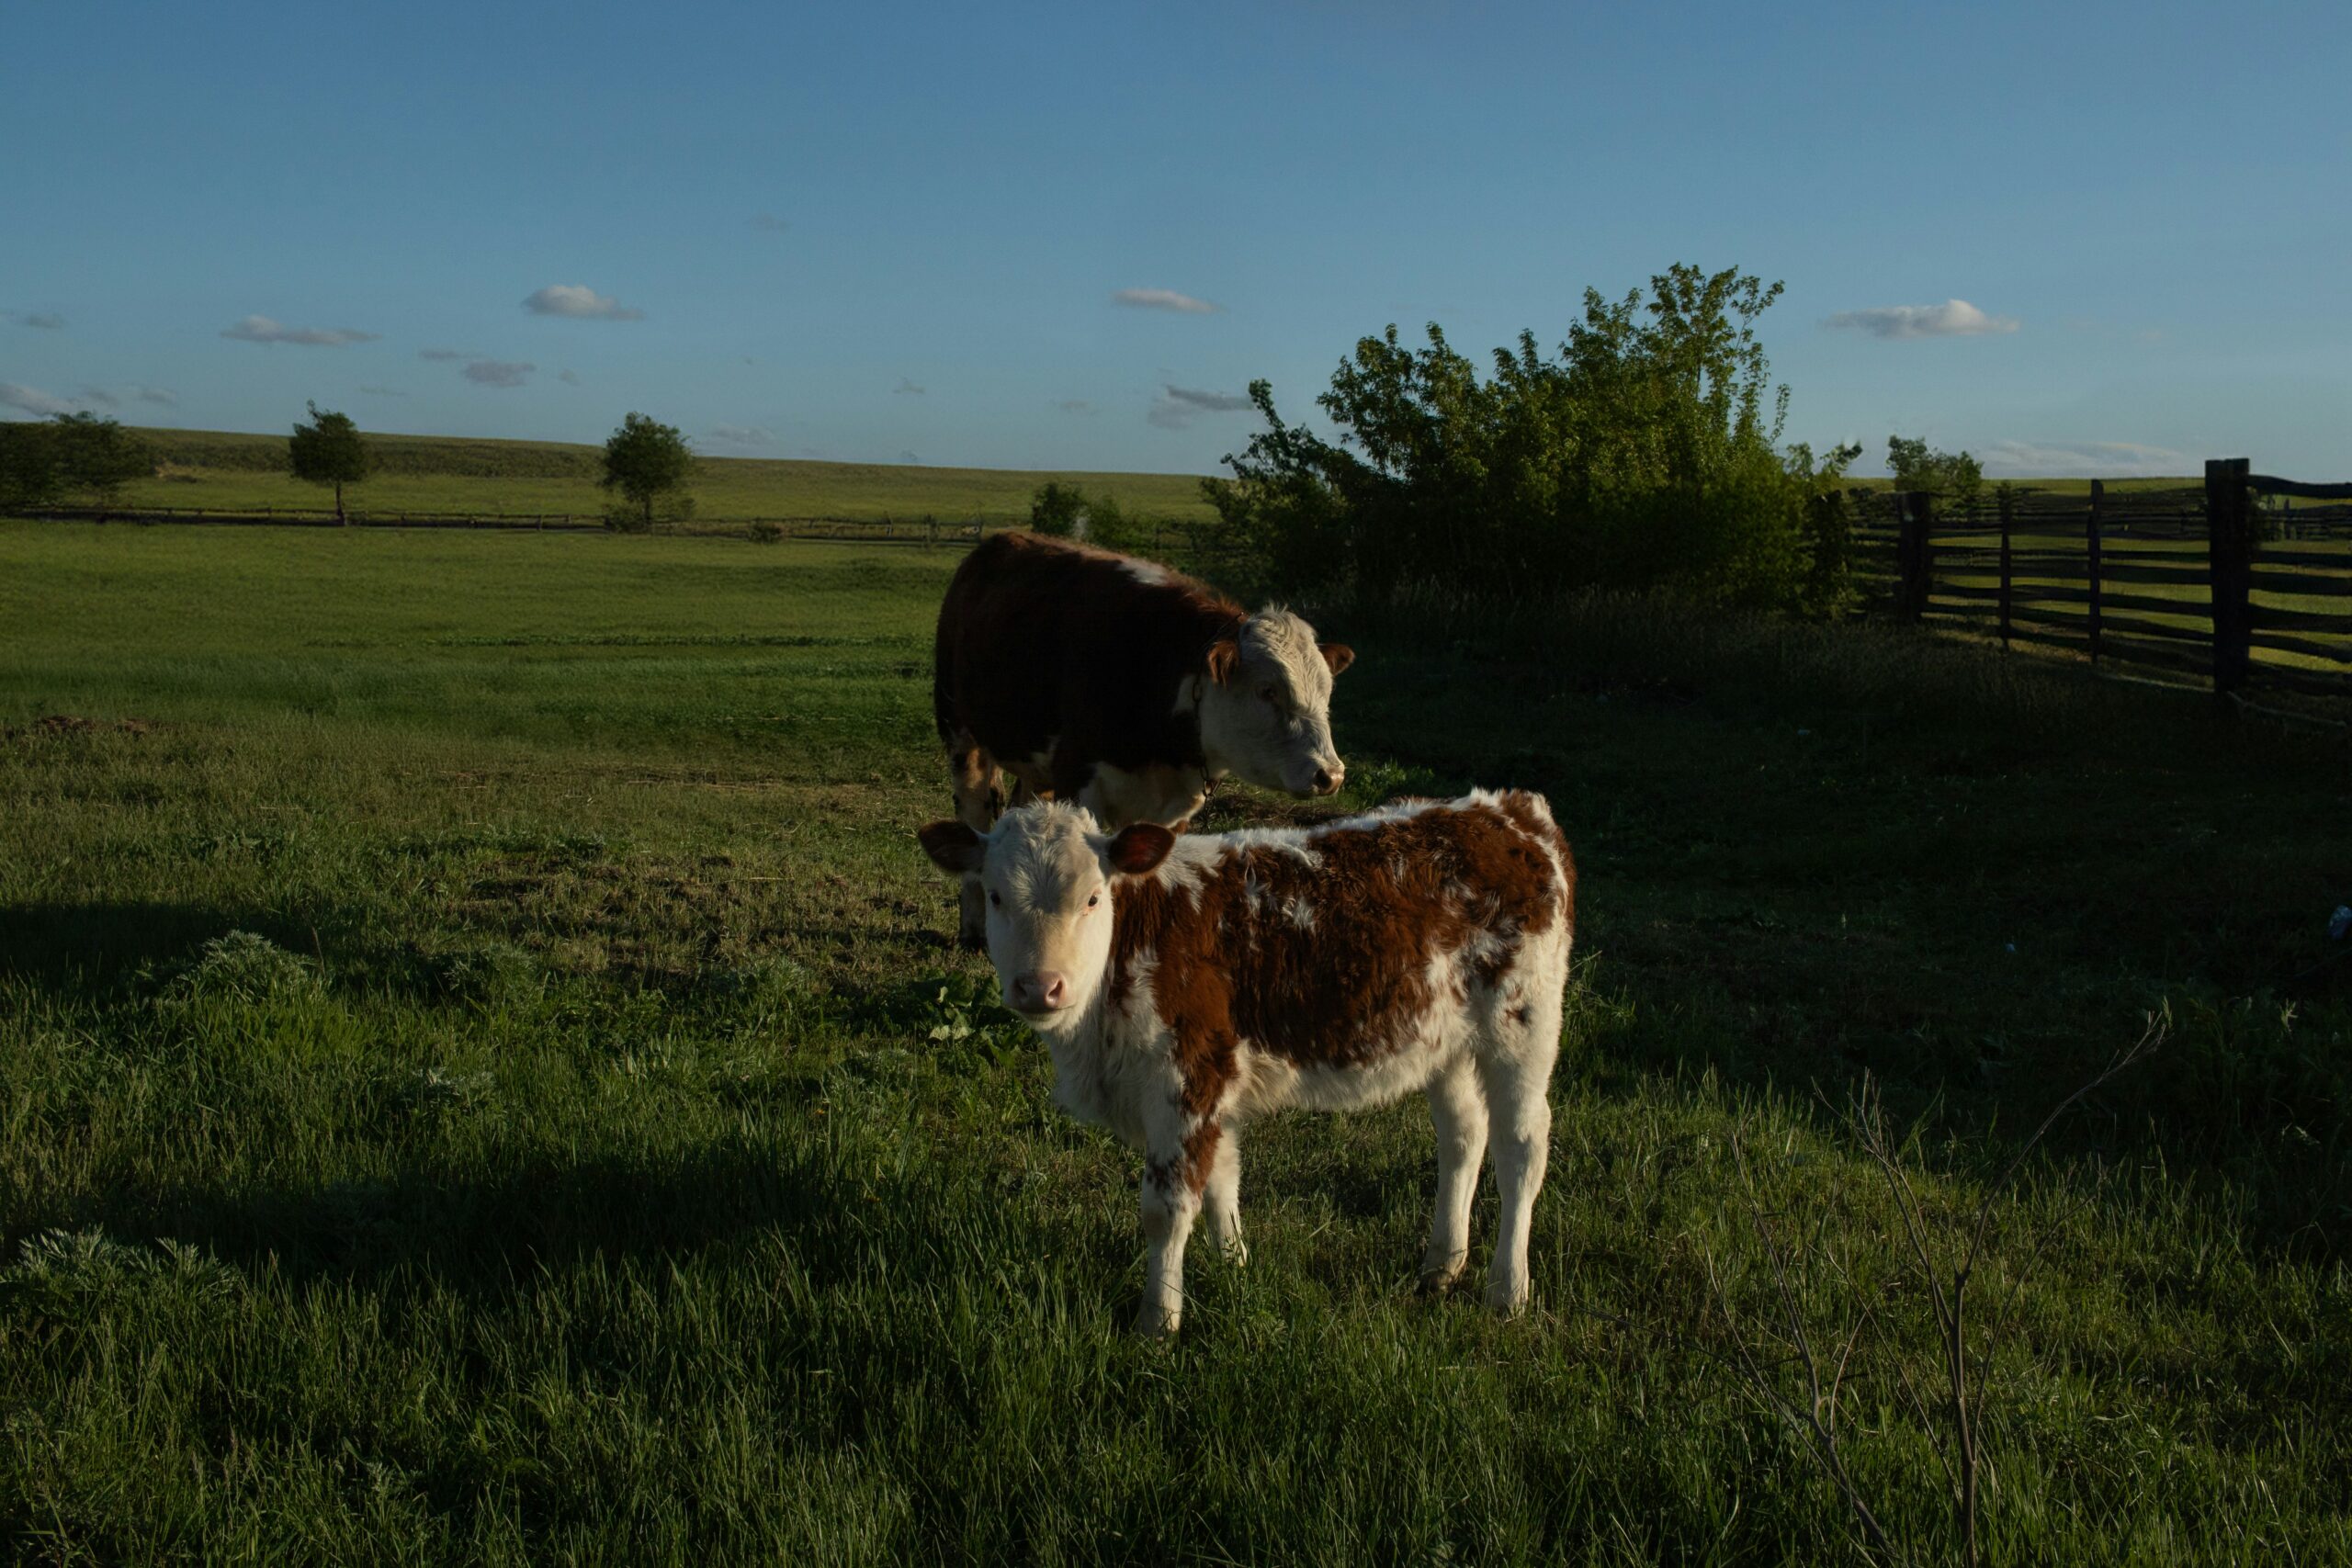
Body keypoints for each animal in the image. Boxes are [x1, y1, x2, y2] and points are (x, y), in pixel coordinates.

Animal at [917, 789, 1580, 1335]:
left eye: (1093, 897)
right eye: (995, 896)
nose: (1039, 987)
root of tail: (1506, 810)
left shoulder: (1187, 1076)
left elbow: (1166, 1209)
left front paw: (1158, 1320)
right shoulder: (1213, 1084)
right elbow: (1222, 1178)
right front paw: (1233, 1264)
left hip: (1524, 1023)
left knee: (1521, 1147)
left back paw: (1507, 1289)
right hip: (1445, 1038)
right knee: (1462, 1135)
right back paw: (1442, 1264)